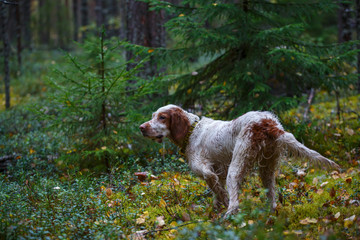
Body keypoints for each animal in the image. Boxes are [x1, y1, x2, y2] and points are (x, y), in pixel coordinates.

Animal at [139, 104, 338, 218]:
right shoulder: (218, 172)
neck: (192, 131)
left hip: (236, 167)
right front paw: (215, 210)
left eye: (162, 117)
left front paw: (220, 208)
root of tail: (268, 123)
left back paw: (228, 219)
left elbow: (219, 191)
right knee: (272, 196)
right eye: (153, 116)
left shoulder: (206, 170)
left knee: (235, 203)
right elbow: (216, 194)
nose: (141, 127)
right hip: (266, 168)